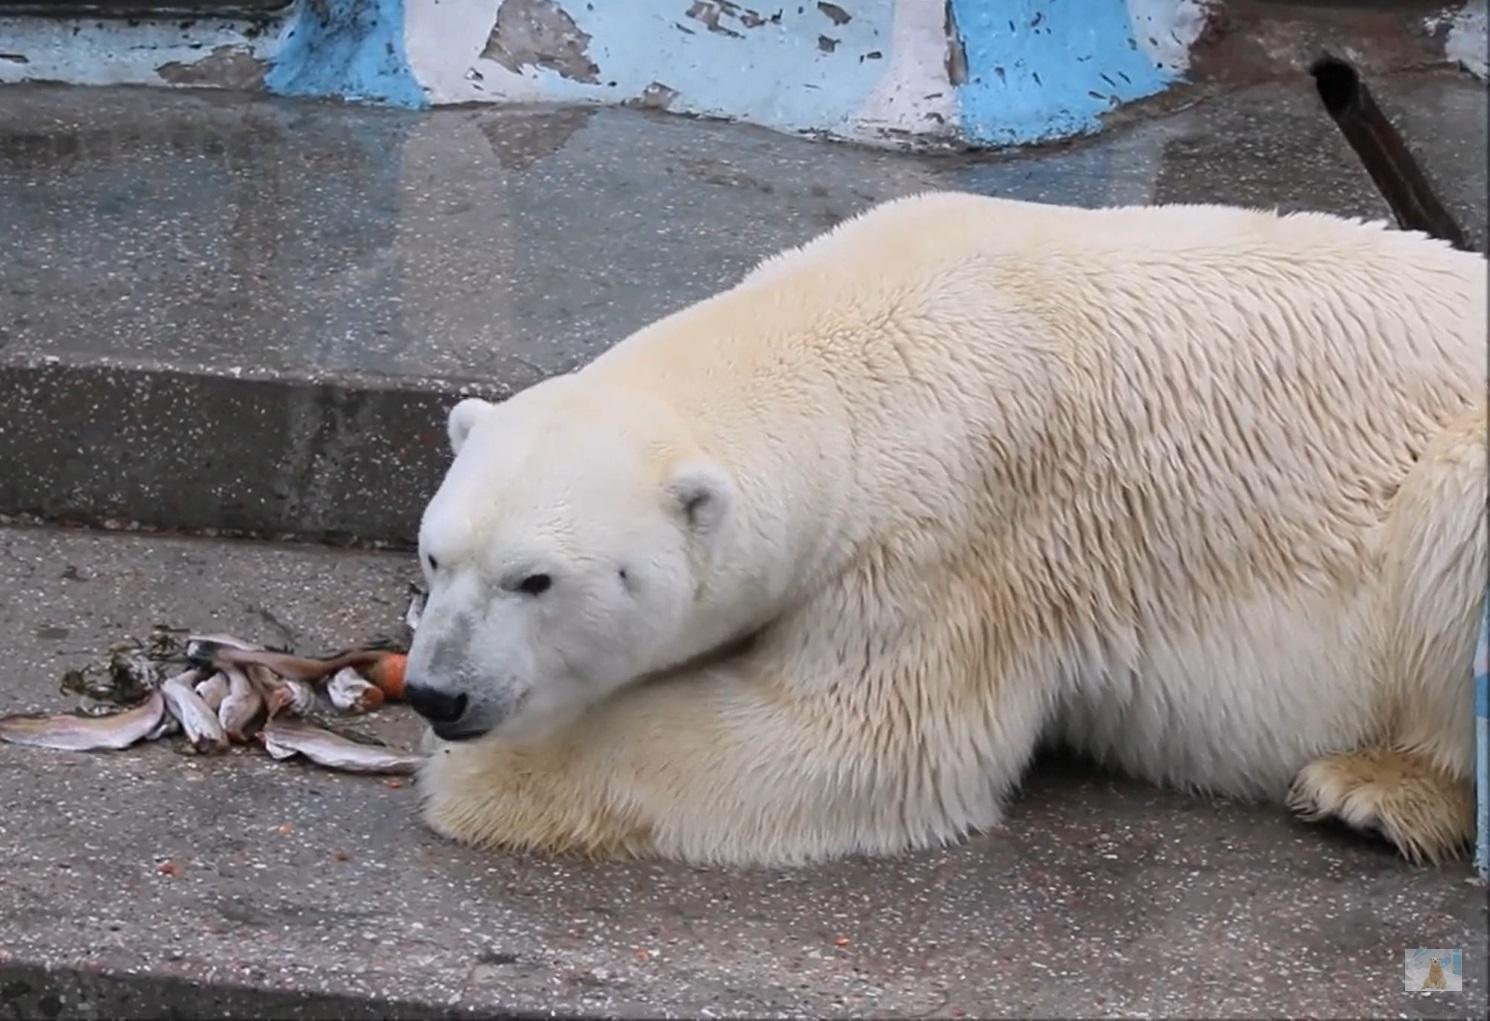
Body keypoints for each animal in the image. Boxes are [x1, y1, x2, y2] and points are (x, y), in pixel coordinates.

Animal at [402, 193, 1484, 870]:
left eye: (536, 580)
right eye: (435, 557)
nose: (436, 692)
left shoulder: (949, 525)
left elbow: (858, 739)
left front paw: (479, 778)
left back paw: (1375, 789)